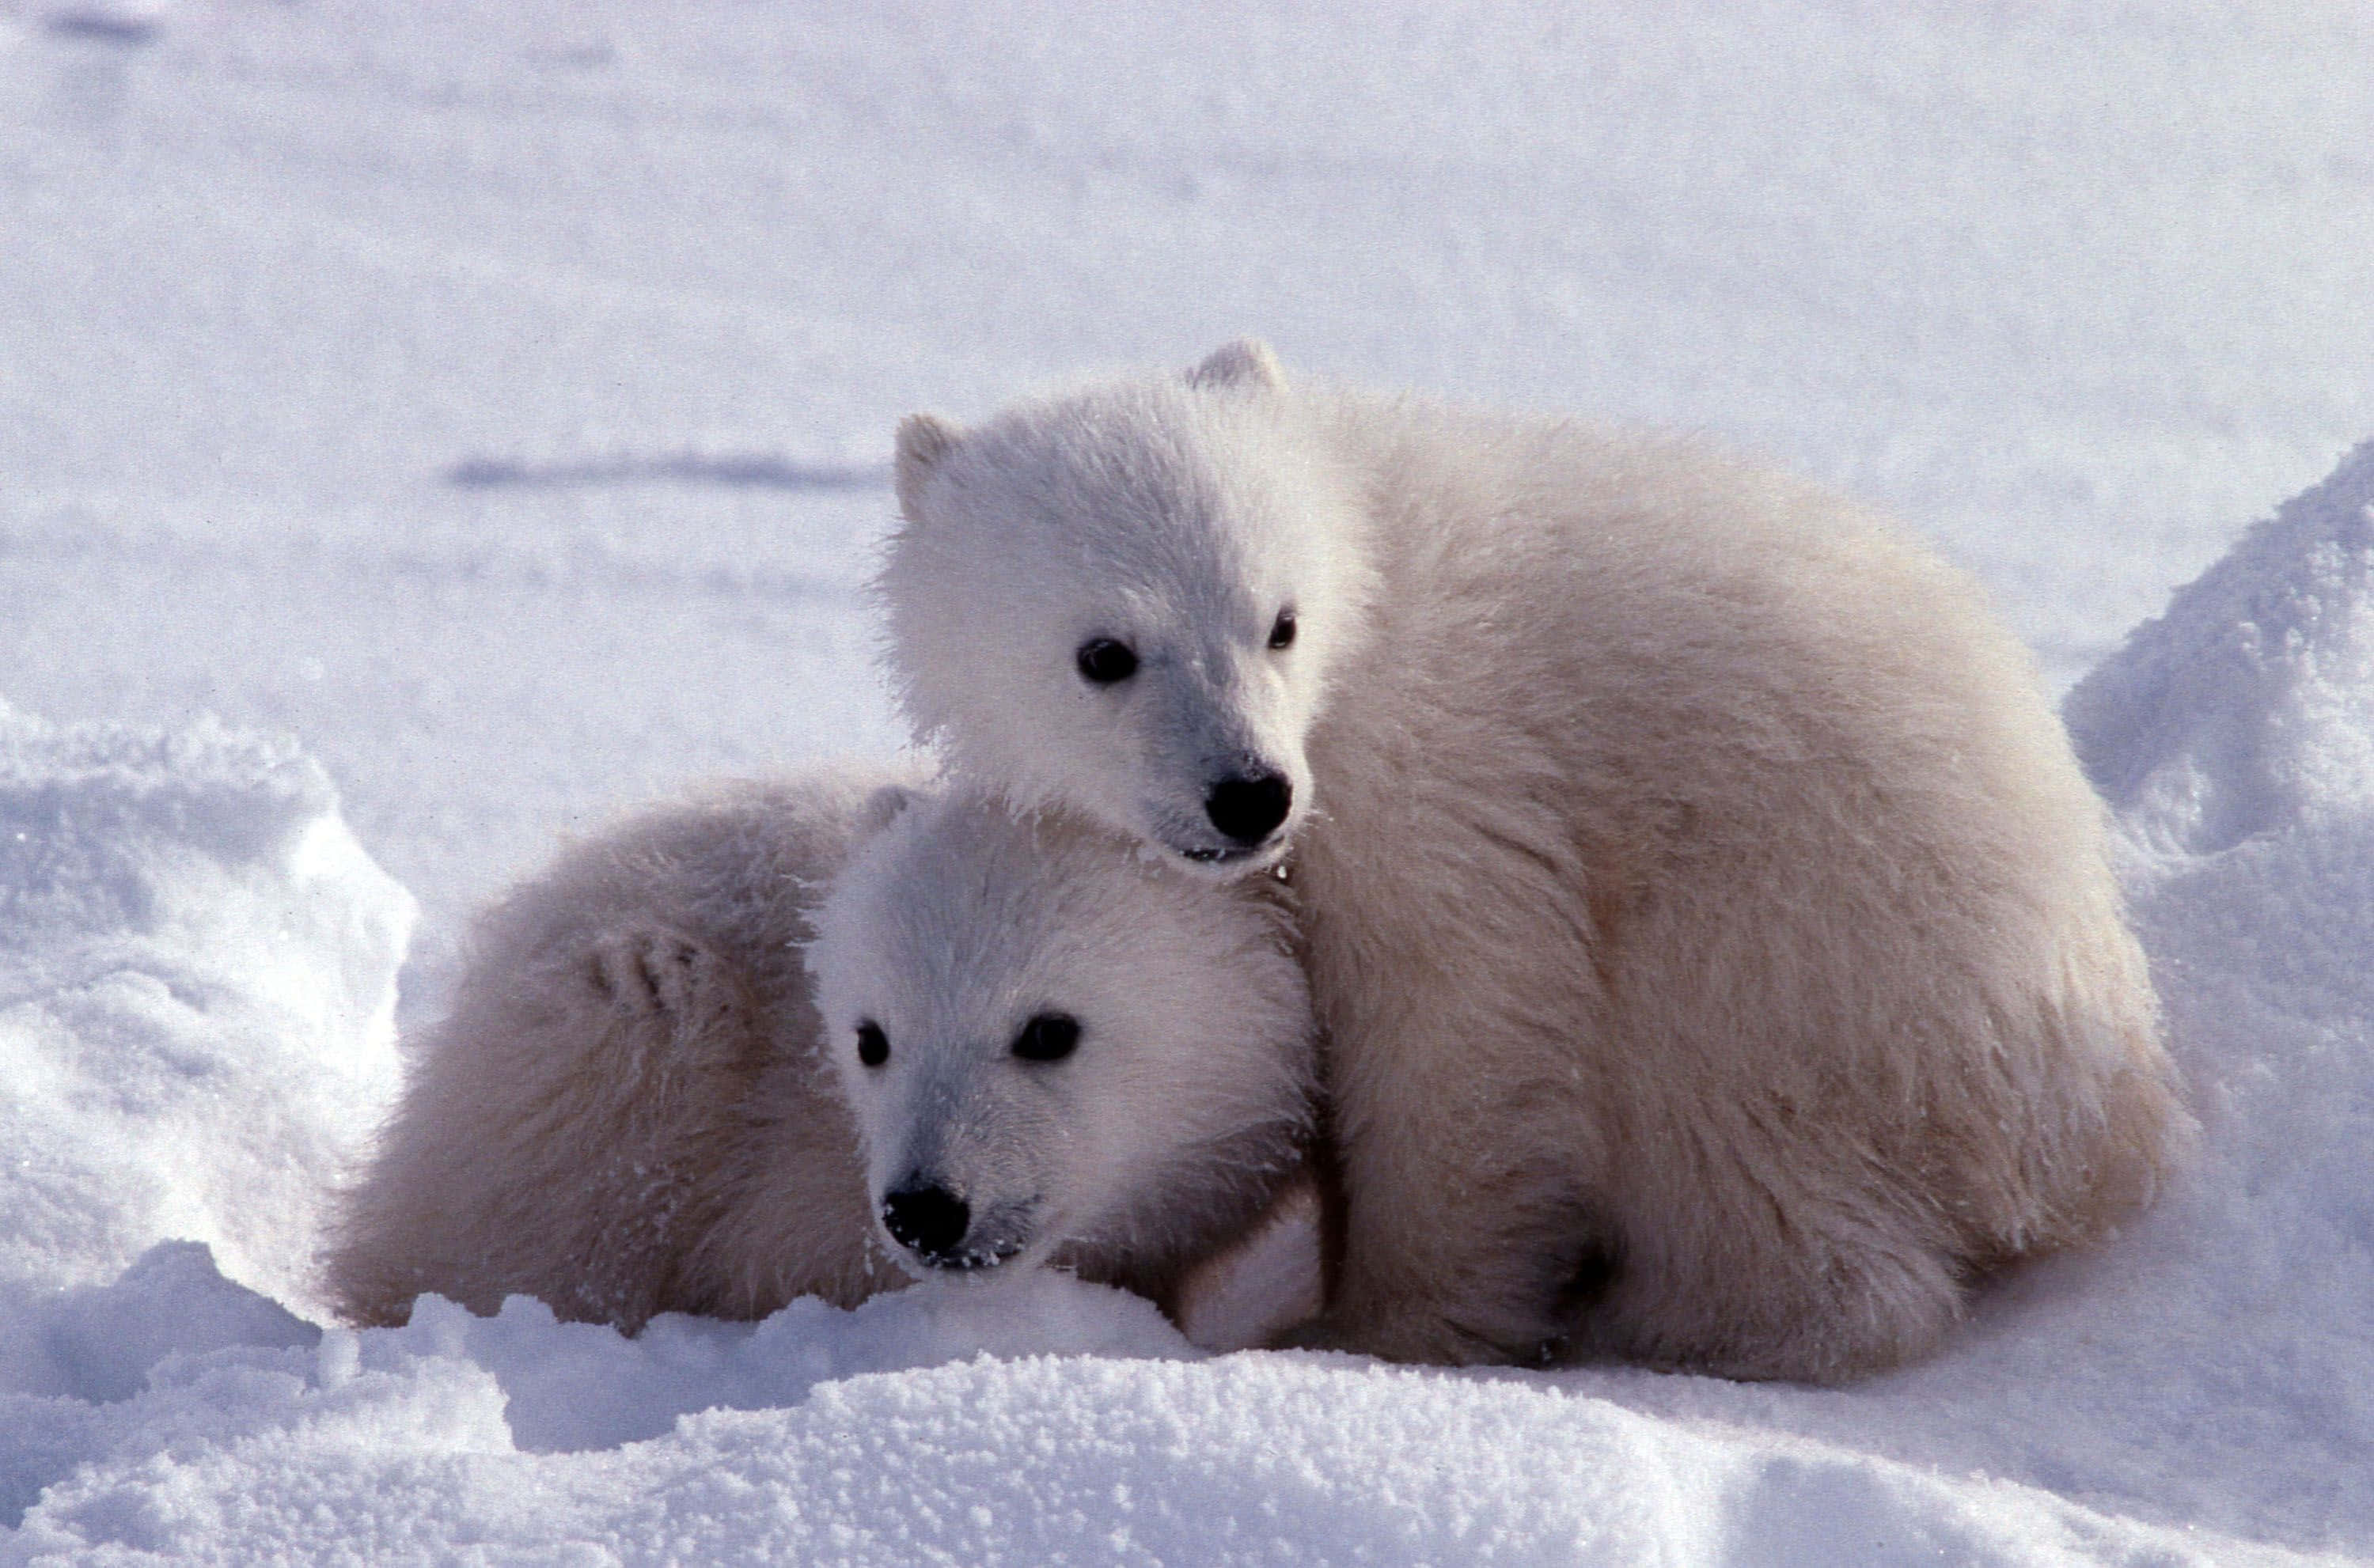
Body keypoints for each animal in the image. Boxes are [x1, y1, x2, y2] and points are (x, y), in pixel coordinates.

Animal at [876, 340, 2191, 1382]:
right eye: (1105, 651)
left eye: (1277, 622)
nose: (1250, 794)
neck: (1369, 596)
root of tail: (2103, 1111)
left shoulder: (1446, 784)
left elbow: (1464, 1029)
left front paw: (1373, 1332)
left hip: (1807, 949)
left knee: (1743, 1141)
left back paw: (1670, 1323)